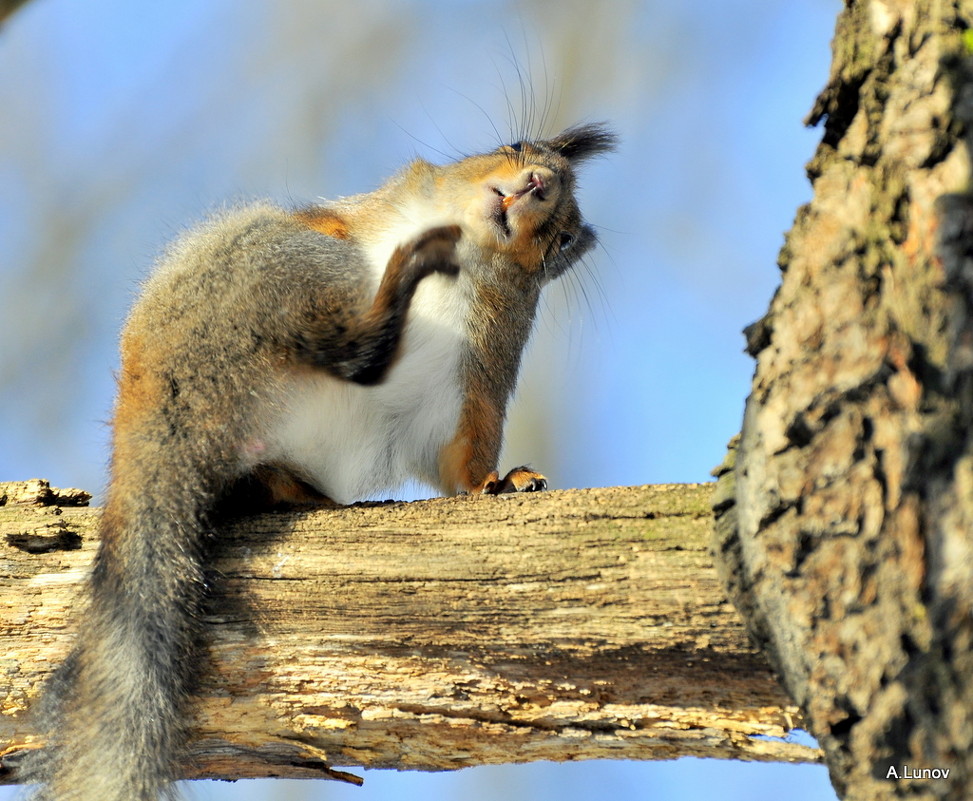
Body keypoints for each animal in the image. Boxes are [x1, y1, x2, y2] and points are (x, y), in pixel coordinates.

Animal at [20, 120, 616, 800]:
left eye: (563, 238)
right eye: (514, 145)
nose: (538, 184)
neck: (467, 260)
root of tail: (159, 416)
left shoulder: (476, 380)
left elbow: (462, 457)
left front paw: (501, 480)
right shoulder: (354, 219)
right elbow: (329, 220)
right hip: (263, 270)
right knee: (338, 321)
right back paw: (398, 280)